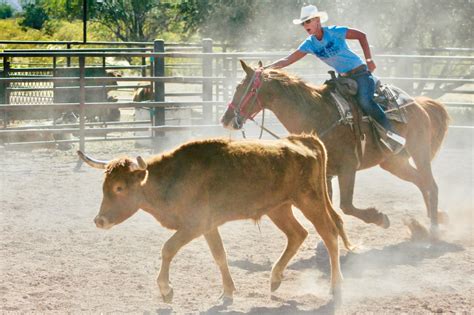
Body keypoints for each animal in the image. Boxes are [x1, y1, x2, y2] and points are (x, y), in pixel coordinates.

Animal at [220, 61, 450, 235]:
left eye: (243, 88)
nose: (226, 119)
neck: (317, 114)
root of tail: (418, 104)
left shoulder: (348, 168)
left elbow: (346, 206)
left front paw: (380, 218)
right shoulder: (327, 173)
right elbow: (329, 208)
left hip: (420, 151)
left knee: (431, 184)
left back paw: (434, 228)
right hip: (393, 162)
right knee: (421, 182)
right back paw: (429, 221)